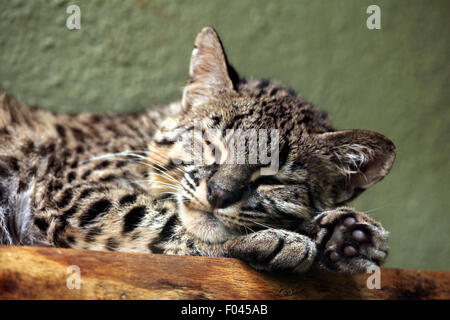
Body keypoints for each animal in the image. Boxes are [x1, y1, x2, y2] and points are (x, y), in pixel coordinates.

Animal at [0, 26, 394, 272]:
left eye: (274, 179)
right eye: (213, 145)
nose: (219, 194)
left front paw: (344, 236)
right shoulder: (71, 189)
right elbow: (157, 218)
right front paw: (290, 239)